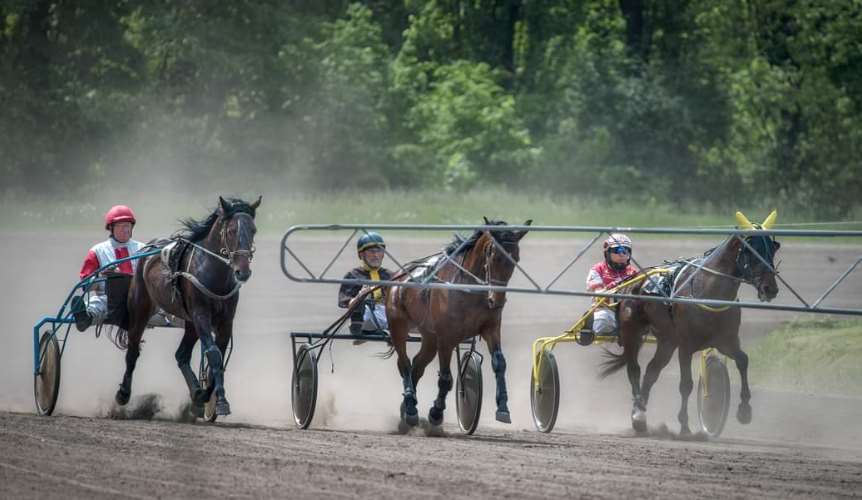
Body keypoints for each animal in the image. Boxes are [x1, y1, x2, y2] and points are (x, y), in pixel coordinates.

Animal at [116, 196, 262, 418]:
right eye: (231, 231)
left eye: (253, 230)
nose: (243, 272)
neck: (213, 272)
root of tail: (148, 249)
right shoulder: (201, 315)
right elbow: (213, 354)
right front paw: (220, 401)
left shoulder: (225, 321)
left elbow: (218, 356)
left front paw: (205, 396)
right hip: (140, 308)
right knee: (133, 350)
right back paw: (123, 393)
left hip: (190, 322)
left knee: (181, 355)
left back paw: (196, 394)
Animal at [386, 217, 532, 428]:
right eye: (494, 257)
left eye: (515, 260)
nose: (497, 301)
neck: (468, 288)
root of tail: (398, 277)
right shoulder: (446, 336)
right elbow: (446, 378)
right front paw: (436, 412)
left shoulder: (491, 327)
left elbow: (499, 364)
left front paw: (503, 408)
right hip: (398, 325)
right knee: (404, 363)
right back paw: (411, 407)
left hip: (429, 337)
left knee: (418, 365)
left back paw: (406, 407)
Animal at [600, 211, 784, 434]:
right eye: (750, 250)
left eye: (772, 248)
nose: (770, 288)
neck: (708, 292)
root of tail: (629, 282)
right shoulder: (686, 346)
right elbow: (686, 384)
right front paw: (685, 425)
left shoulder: (726, 341)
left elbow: (743, 360)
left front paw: (744, 410)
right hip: (632, 333)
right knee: (634, 369)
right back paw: (638, 414)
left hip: (667, 340)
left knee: (652, 371)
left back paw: (640, 410)